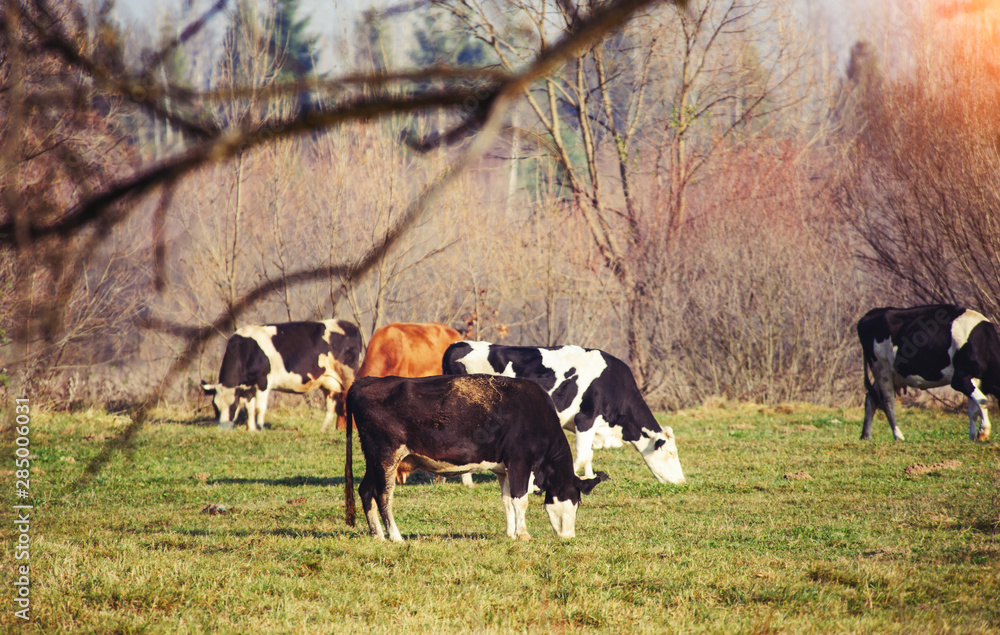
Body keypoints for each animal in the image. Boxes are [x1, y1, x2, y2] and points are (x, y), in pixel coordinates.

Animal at [201, 318, 362, 432]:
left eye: (233, 405)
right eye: (215, 406)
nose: (223, 429)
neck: (247, 349)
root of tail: (350, 325)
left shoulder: (263, 382)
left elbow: (259, 408)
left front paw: (260, 428)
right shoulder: (248, 387)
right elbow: (250, 408)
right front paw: (251, 429)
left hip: (348, 375)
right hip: (329, 382)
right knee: (330, 405)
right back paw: (322, 430)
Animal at [344, 376, 608, 544]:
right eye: (574, 500)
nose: (569, 536)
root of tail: (365, 381)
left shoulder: (504, 468)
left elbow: (506, 500)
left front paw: (511, 533)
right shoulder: (520, 461)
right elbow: (520, 500)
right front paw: (523, 535)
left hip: (374, 459)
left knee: (365, 490)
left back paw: (377, 535)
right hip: (386, 455)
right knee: (383, 495)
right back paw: (396, 537)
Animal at [446, 342, 688, 486]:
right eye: (671, 453)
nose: (681, 480)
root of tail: (459, 344)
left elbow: (589, 454)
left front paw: (590, 476)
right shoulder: (586, 419)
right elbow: (581, 454)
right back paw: (467, 482)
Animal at [856, 306, 996, 440]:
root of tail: (870, 314)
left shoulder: (976, 380)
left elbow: (973, 409)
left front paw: (973, 437)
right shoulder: (960, 379)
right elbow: (982, 401)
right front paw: (983, 432)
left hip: (890, 374)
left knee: (871, 399)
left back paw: (866, 436)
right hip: (881, 368)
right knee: (887, 403)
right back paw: (898, 436)